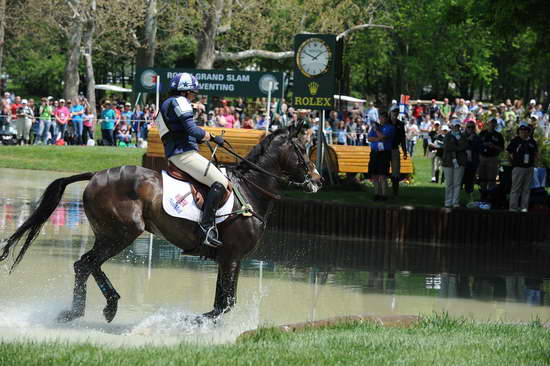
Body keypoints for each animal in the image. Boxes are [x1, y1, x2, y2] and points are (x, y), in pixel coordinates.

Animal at [0, 126, 324, 324]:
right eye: (303, 149)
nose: (318, 180)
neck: (251, 189)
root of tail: (96, 174)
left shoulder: (231, 259)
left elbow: (223, 300)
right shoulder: (231, 257)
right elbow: (224, 303)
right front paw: (191, 321)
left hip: (109, 234)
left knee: (86, 265)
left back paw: (88, 309)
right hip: (122, 233)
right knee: (87, 264)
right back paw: (98, 307)